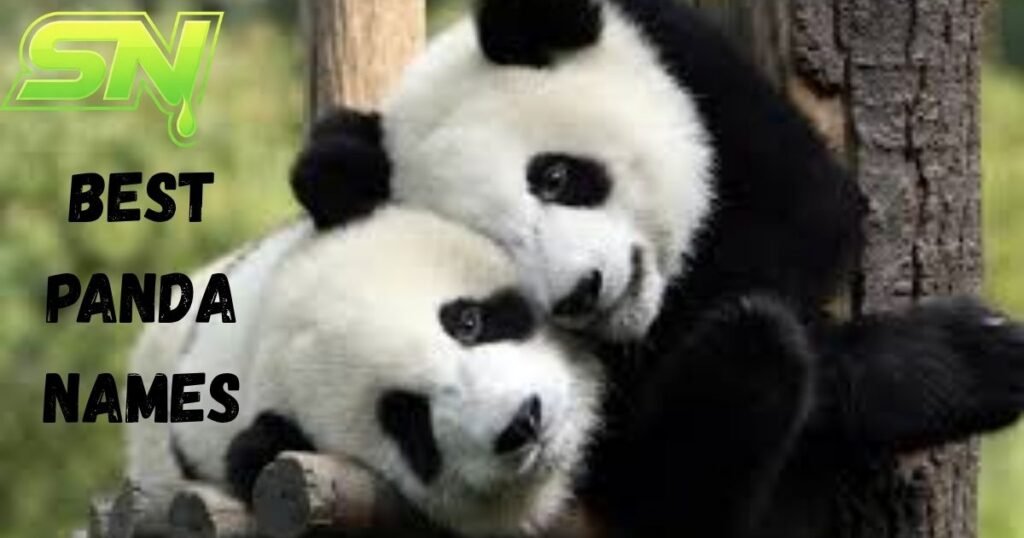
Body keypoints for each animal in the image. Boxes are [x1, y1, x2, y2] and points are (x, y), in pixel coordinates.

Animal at [290, 0, 1024, 536]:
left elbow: (810, 215)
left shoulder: (707, 83)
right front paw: (967, 358)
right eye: (500, 249)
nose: (582, 292)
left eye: (555, 176)